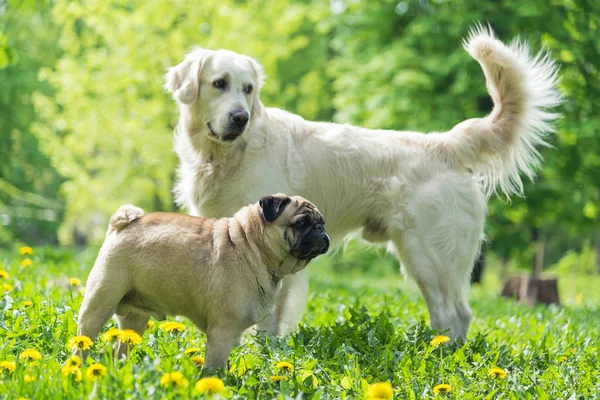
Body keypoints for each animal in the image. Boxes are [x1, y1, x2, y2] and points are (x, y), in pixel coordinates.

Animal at [77, 194, 330, 368]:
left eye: (322, 222)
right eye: (301, 223)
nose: (320, 230)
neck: (252, 246)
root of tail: (121, 225)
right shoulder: (222, 331)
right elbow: (214, 368)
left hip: (135, 320)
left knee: (120, 349)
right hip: (99, 305)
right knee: (83, 343)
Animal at [163, 25, 556, 340]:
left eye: (248, 89)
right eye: (219, 84)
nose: (241, 117)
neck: (227, 155)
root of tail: (444, 143)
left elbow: (267, 319)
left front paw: (262, 353)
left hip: (428, 256)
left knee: (454, 314)